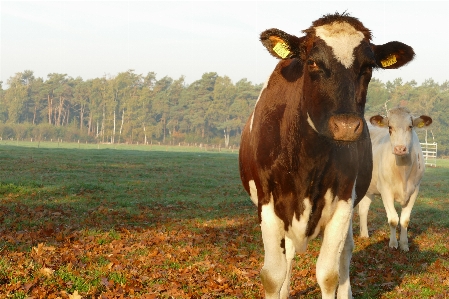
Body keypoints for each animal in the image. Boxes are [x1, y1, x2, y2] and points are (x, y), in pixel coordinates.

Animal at [238, 12, 412, 298]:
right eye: (312, 62)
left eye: (368, 67)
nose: (346, 126)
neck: (307, 159)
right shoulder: (268, 204)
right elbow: (272, 275)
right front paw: (280, 287)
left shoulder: (343, 199)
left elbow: (329, 275)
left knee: (345, 253)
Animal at [356, 108, 430, 253]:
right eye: (390, 127)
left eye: (410, 126)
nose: (400, 149)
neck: (403, 172)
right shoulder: (385, 191)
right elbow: (393, 220)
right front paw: (393, 244)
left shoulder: (415, 190)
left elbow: (405, 220)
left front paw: (404, 244)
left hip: (369, 189)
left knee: (363, 209)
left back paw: (364, 234)